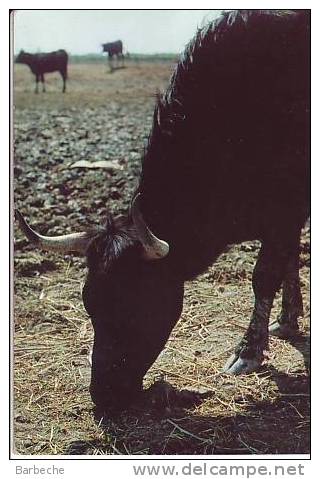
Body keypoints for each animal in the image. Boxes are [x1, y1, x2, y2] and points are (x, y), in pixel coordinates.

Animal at [16, 9, 310, 412]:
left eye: (135, 305)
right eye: (90, 304)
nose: (104, 395)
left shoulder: (285, 210)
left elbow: (265, 275)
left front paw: (248, 350)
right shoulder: (285, 216)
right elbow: (288, 263)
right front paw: (288, 318)